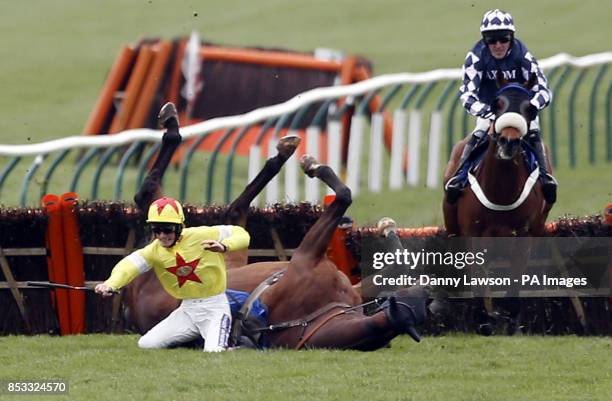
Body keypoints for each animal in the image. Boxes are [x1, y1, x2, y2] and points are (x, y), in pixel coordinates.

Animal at [125, 111, 426, 348]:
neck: (318, 317)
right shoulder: (309, 258)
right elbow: (345, 196)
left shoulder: (330, 272)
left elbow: (347, 199)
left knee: (164, 199)